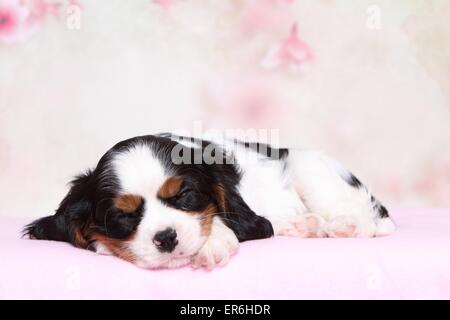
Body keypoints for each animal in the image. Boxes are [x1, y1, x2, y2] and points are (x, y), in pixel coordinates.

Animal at [23, 134, 394, 268]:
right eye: (122, 216)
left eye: (185, 196)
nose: (166, 238)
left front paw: (212, 242)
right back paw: (305, 225)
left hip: (310, 169)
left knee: (372, 221)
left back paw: (343, 227)